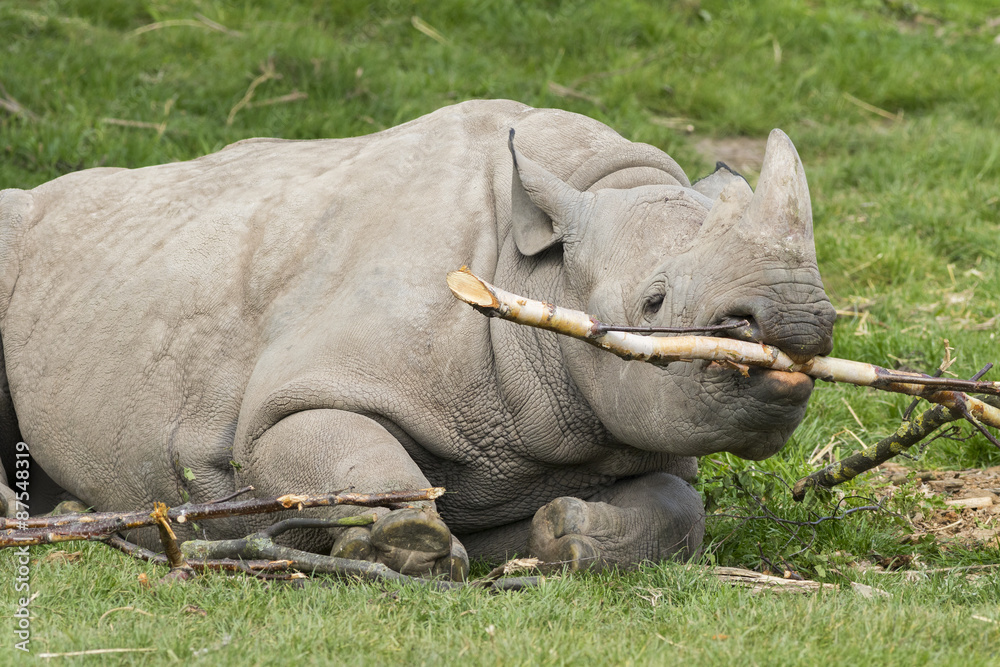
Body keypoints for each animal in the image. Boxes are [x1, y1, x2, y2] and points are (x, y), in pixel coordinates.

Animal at [0, 100, 835, 578]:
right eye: (654, 300)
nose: (800, 322)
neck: (536, 264)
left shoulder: (626, 426)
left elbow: (678, 507)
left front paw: (563, 534)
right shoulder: (297, 399)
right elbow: (335, 446)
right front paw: (405, 543)